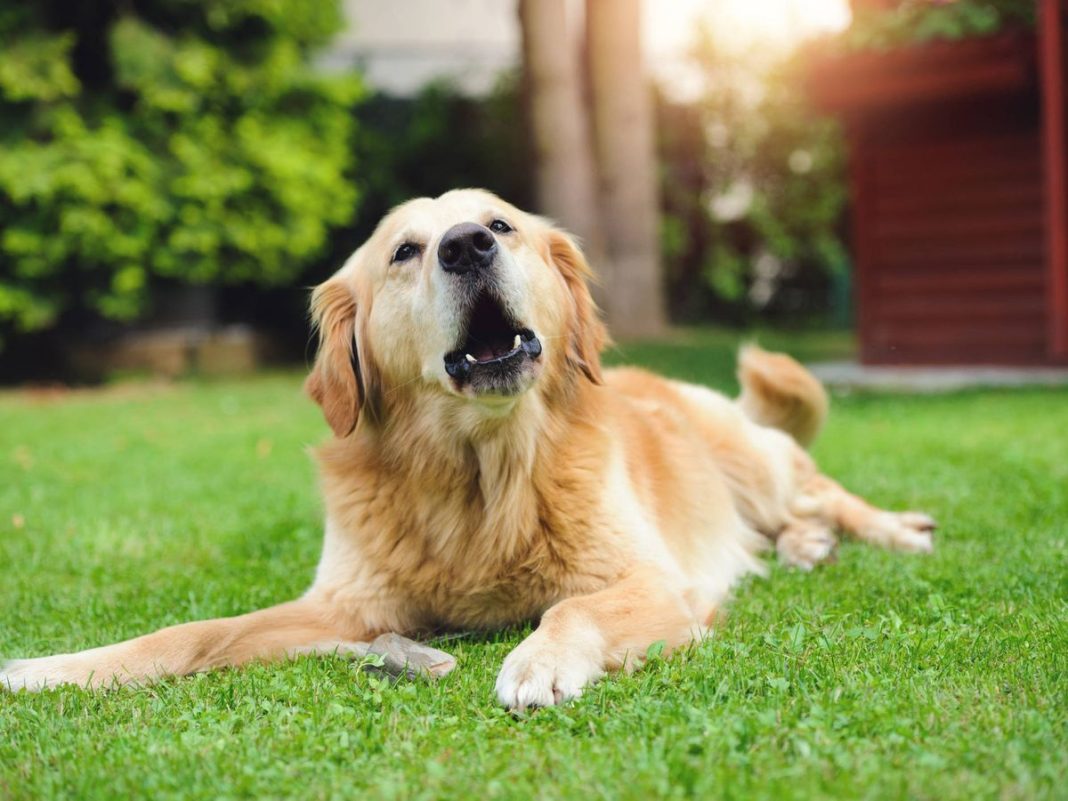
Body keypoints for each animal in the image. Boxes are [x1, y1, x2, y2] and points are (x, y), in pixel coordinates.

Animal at [0, 191, 935, 704]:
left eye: (500, 224)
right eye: (405, 251)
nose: (467, 245)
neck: (479, 473)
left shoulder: (654, 582)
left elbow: (571, 608)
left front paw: (541, 661)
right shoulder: (345, 608)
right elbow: (190, 633)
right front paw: (52, 667)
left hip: (755, 461)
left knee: (824, 493)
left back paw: (890, 529)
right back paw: (809, 547)